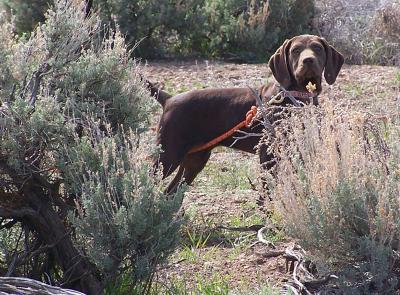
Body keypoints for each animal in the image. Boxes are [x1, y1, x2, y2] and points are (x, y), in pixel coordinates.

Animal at [150, 34, 344, 194]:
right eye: (295, 50)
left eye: (318, 48)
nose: (308, 60)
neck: (297, 95)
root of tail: (169, 98)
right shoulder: (268, 156)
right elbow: (269, 194)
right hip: (167, 155)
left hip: (194, 159)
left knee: (171, 193)